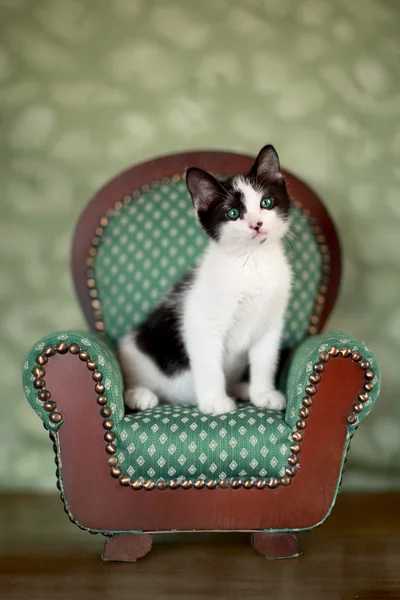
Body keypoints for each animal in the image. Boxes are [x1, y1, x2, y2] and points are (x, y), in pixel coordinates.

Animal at [118, 146, 290, 418]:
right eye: (233, 213)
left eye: (266, 203)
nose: (257, 224)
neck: (252, 262)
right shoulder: (202, 324)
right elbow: (210, 366)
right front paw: (216, 402)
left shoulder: (270, 324)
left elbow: (265, 360)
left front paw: (263, 394)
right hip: (134, 349)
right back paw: (139, 395)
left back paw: (241, 388)